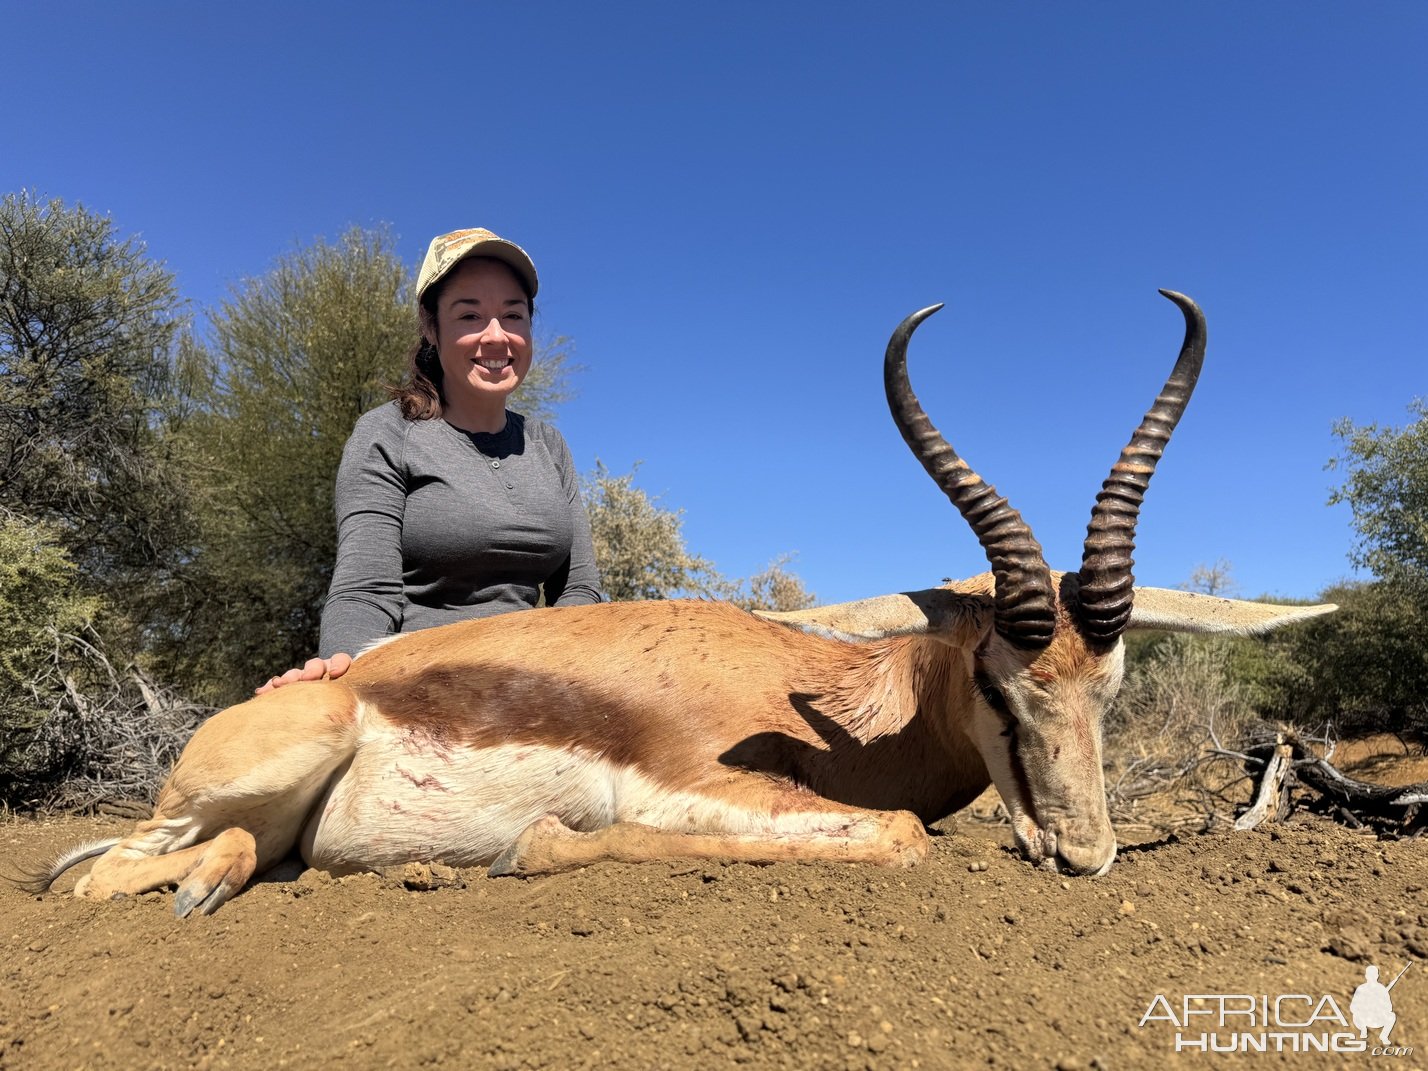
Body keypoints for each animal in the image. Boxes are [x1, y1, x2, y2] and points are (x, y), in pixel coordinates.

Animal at [25, 289, 1336, 919]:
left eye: (1108, 688)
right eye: (997, 685)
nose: (1085, 854)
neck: (819, 704)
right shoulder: (705, 788)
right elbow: (897, 835)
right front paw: (538, 846)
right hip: (262, 767)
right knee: (95, 871)